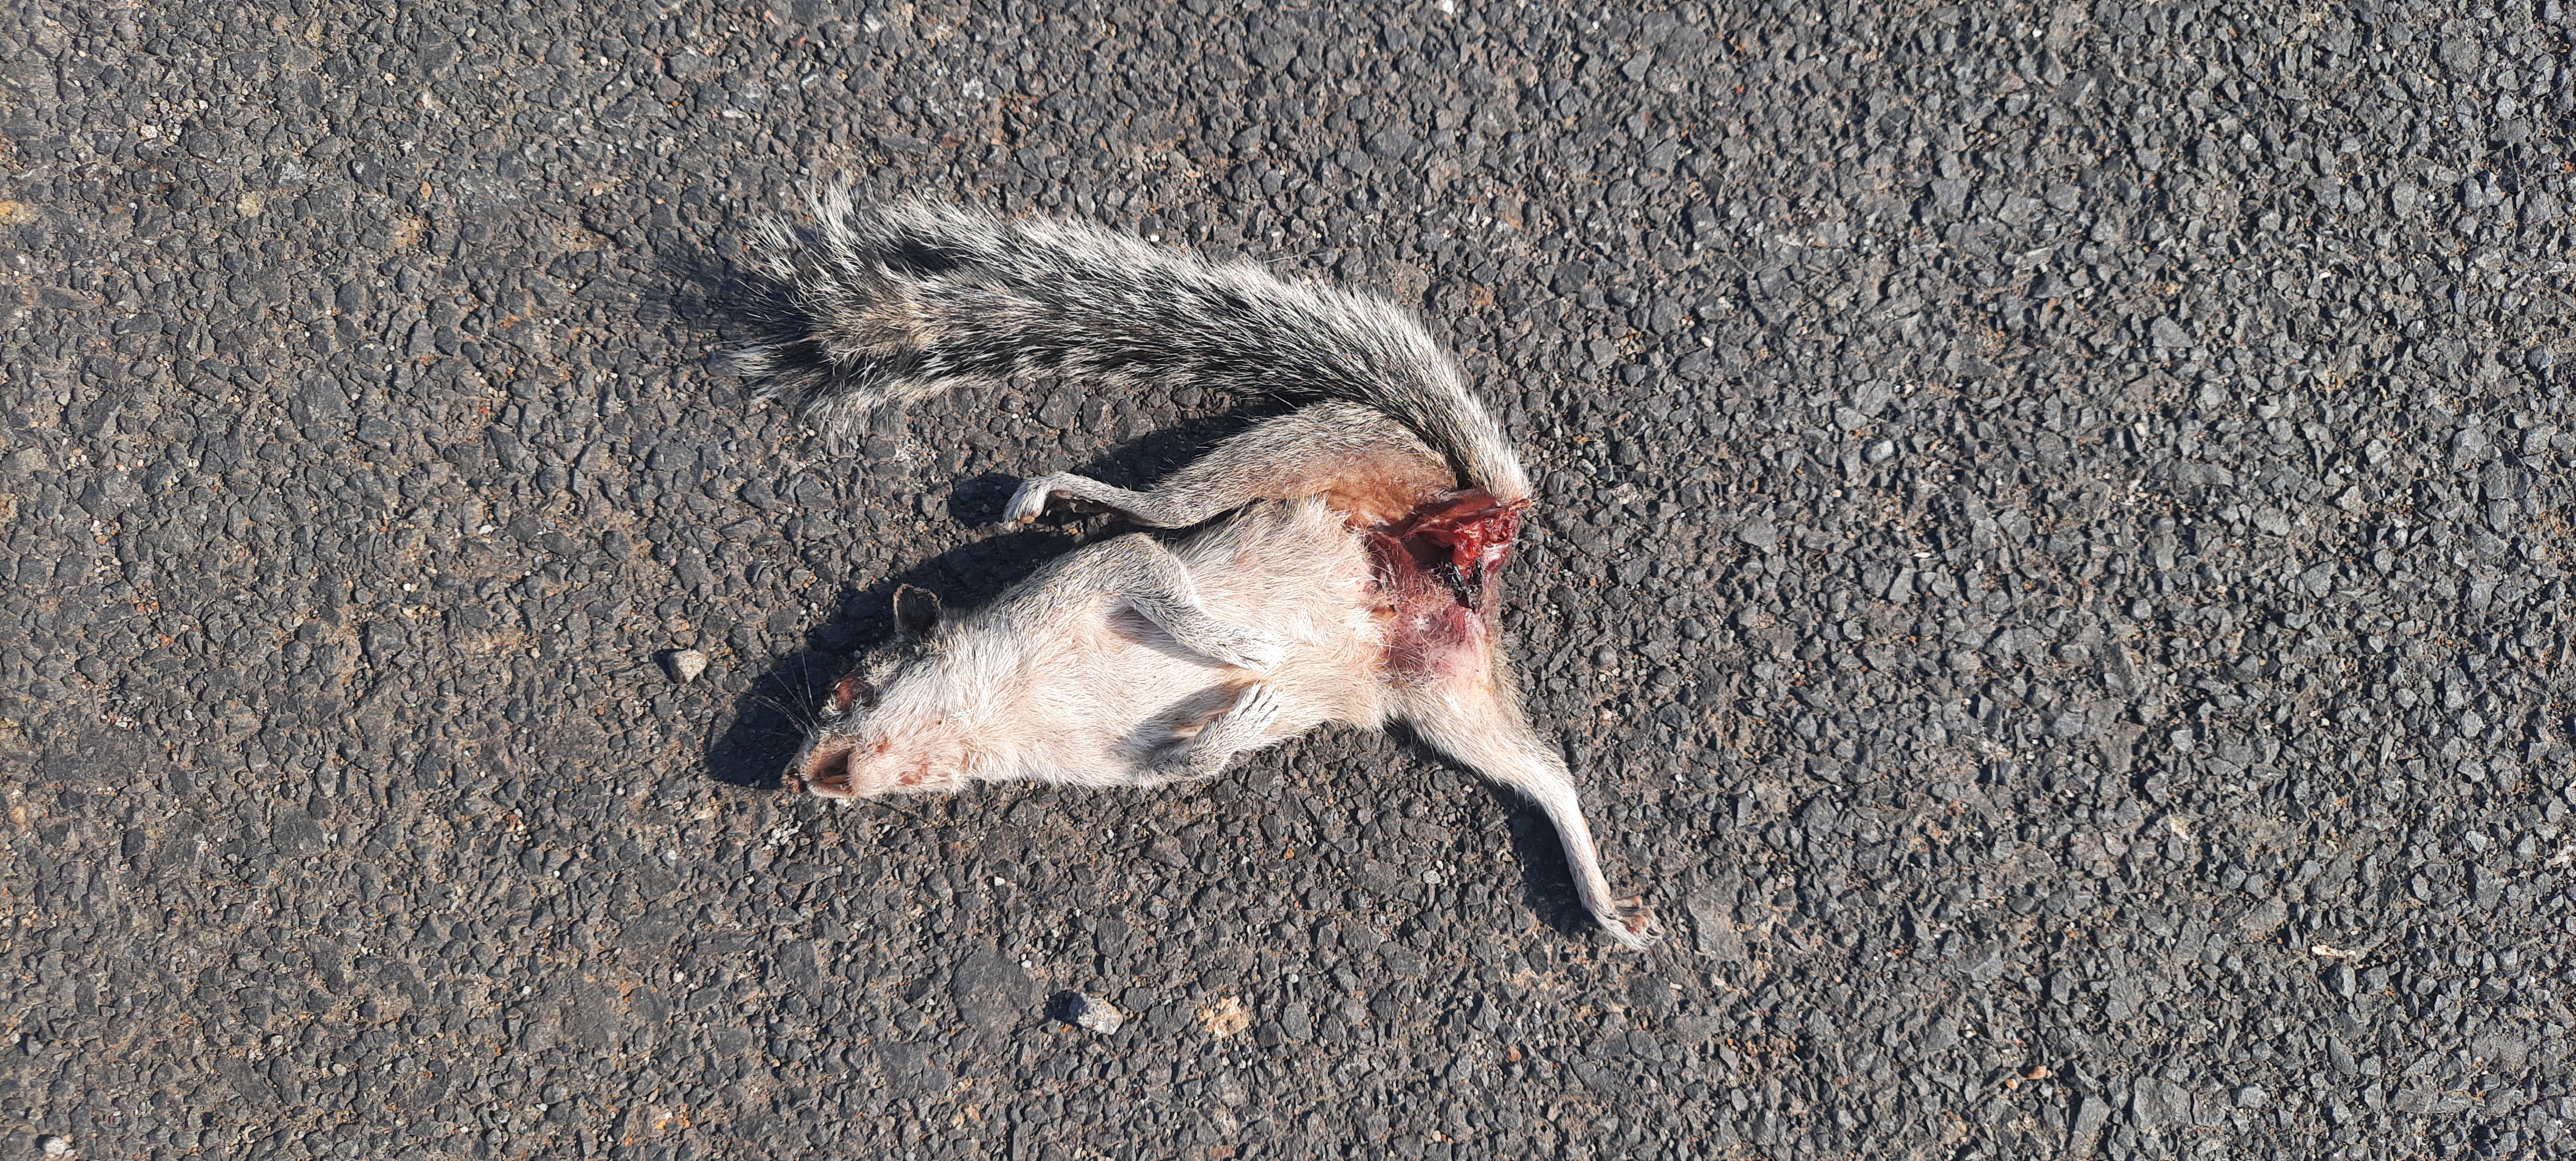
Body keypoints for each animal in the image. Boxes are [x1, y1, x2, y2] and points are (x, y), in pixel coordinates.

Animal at [732, 192, 1656, 949]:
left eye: (852, 686)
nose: (792, 775)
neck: (996, 712)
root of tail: (1469, 516)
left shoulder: (1092, 578)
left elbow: (1153, 573)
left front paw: (1248, 657)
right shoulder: (1120, 760)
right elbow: (1187, 766)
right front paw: (1250, 713)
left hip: (1283, 462)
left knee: (1159, 512)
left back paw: (1053, 492)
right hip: (1443, 692)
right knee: (1548, 775)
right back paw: (1604, 899)